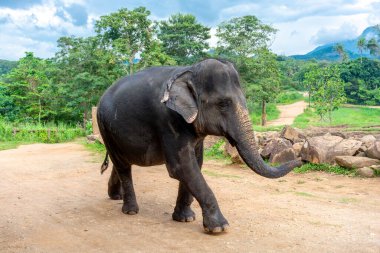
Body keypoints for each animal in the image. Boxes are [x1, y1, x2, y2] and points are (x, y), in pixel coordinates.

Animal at [97, 58, 302, 232]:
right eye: (223, 104)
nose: (299, 160)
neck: (189, 71)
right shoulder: (168, 121)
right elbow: (182, 167)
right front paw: (219, 228)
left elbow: (196, 163)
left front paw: (185, 218)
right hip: (104, 126)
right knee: (123, 165)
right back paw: (130, 210)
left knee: (121, 162)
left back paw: (116, 196)